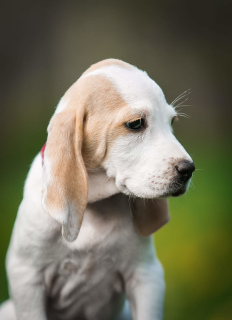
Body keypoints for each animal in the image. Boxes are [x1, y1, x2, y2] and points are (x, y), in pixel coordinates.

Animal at [0, 58, 195, 320]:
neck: (95, 205)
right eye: (135, 124)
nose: (189, 169)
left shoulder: (146, 274)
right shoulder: (26, 277)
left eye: (171, 122)